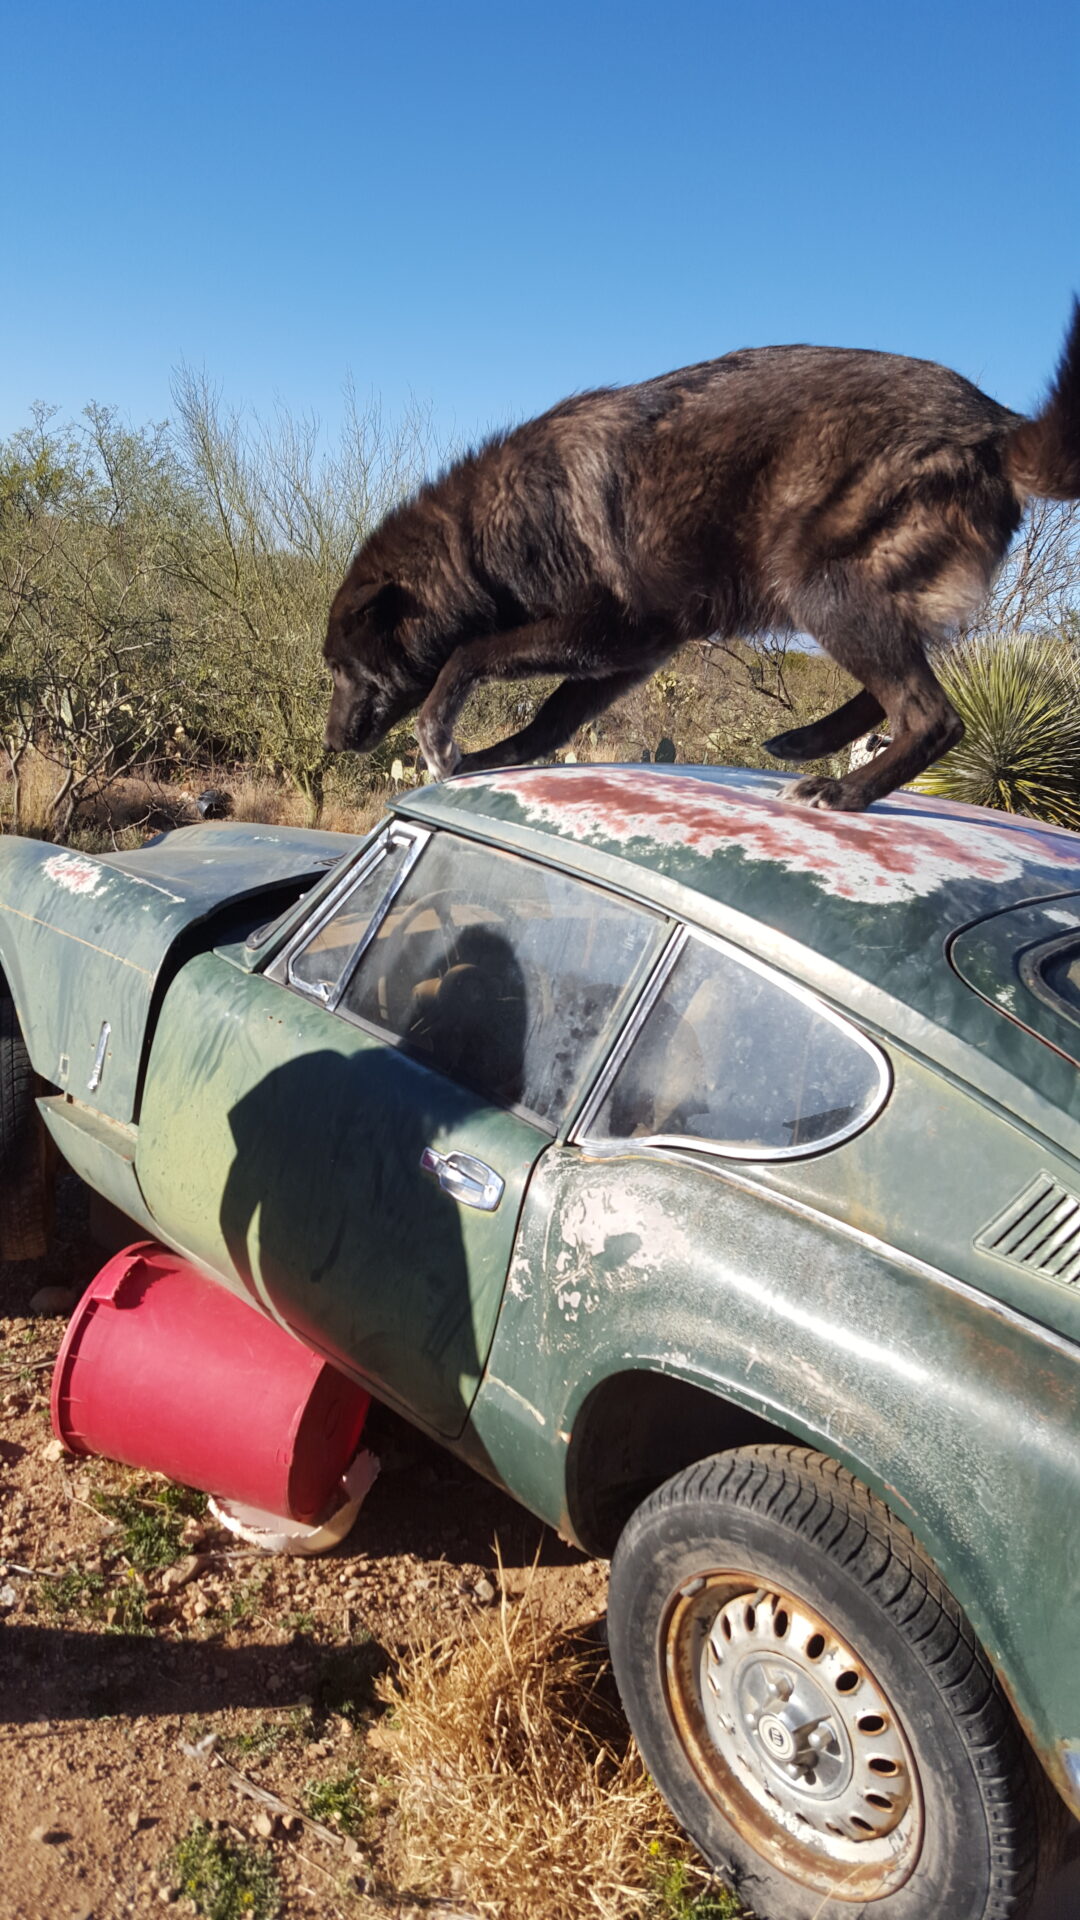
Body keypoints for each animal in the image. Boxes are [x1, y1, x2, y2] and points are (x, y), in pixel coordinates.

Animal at [320, 305, 1076, 810]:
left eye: (340, 668)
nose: (328, 743)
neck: (476, 539)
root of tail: (998, 425)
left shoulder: (602, 633)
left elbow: (467, 656)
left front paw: (441, 740)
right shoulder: (628, 657)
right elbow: (546, 721)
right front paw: (486, 761)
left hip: (821, 587)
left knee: (932, 714)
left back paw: (843, 789)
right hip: (866, 595)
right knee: (897, 689)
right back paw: (807, 742)